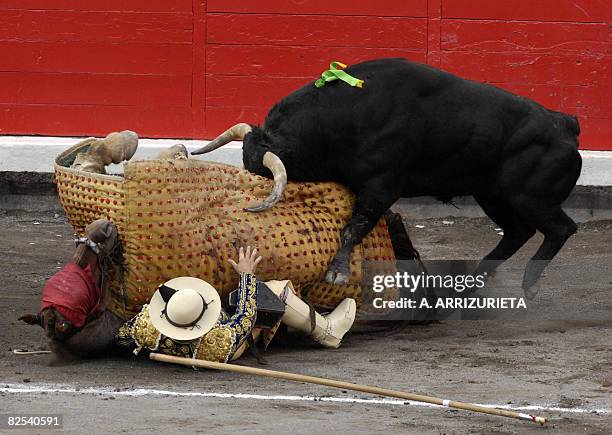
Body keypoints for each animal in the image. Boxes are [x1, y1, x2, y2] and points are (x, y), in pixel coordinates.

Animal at [194, 58, 580, 298]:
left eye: (262, 173)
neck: (349, 117)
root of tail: (564, 126)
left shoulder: (382, 187)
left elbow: (355, 226)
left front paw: (337, 272)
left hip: (529, 197)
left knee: (560, 228)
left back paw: (528, 283)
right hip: (492, 195)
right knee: (517, 232)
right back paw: (471, 283)